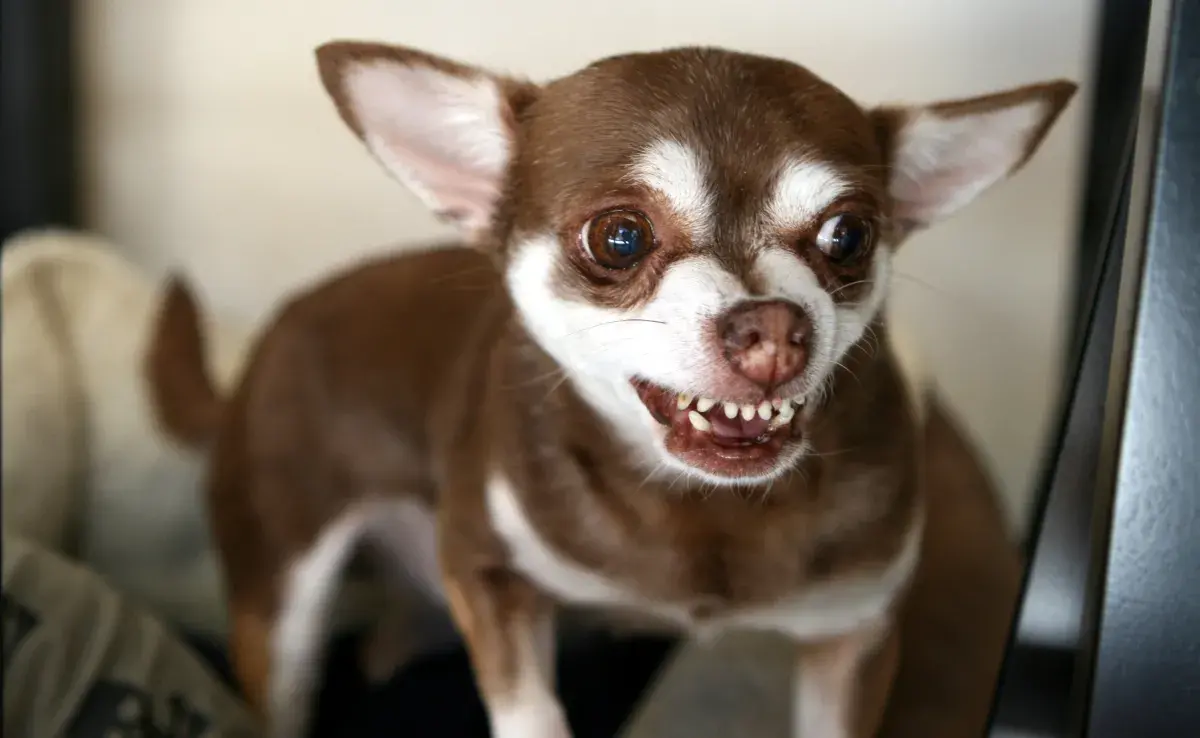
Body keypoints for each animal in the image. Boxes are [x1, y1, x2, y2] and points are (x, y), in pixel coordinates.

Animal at [201, 42, 1075, 738]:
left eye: (849, 235)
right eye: (619, 237)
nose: (775, 330)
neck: (705, 511)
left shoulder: (854, 635)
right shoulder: (485, 569)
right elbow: (531, 711)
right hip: (282, 591)